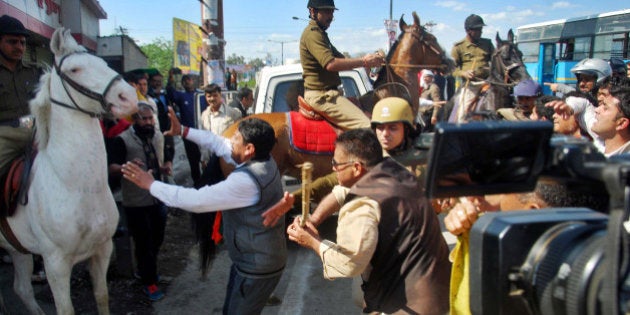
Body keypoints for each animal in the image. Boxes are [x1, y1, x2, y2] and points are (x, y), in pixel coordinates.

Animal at [0, 28, 138, 314]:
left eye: (103, 63)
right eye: (74, 69)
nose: (129, 97)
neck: (77, 186)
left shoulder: (102, 250)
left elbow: (102, 297)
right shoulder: (55, 264)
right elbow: (66, 309)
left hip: (18, 250)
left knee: (22, 289)